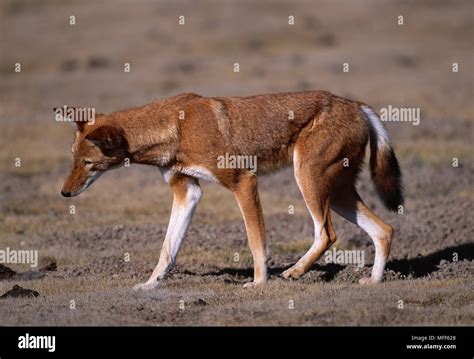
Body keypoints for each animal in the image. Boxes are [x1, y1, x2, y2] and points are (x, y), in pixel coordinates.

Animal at [57, 91, 402, 292]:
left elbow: (255, 241)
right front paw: (150, 285)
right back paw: (373, 281)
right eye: (72, 158)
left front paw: (259, 283)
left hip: (308, 181)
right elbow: (167, 249)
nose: (64, 193)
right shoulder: (187, 191)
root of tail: (357, 105)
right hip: (338, 194)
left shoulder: (243, 181)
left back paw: (293, 272)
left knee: (327, 234)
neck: (177, 127)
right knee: (384, 229)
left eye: (88, 163)